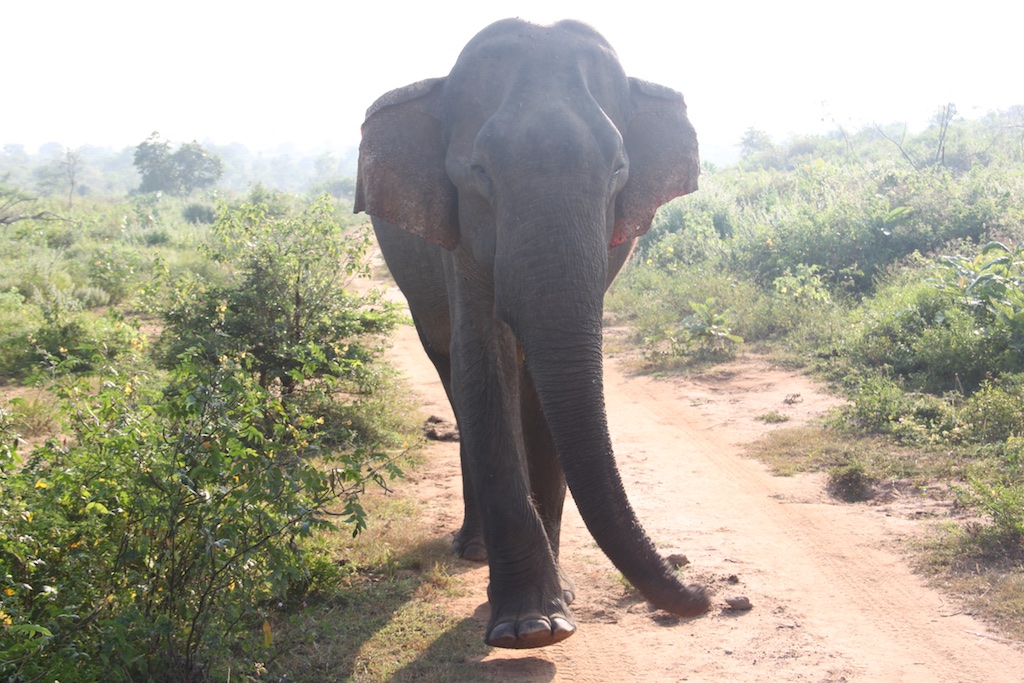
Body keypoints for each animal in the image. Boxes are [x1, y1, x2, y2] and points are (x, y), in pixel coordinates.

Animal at [356, 14, 708, 647]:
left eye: (618, 171)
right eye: (479, 172)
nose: (703, 593)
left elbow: (551, 384)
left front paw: (558, 606)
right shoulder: (457, 234)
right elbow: (482, 363)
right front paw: (530, 630)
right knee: (452, 373)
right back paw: (473, 549)